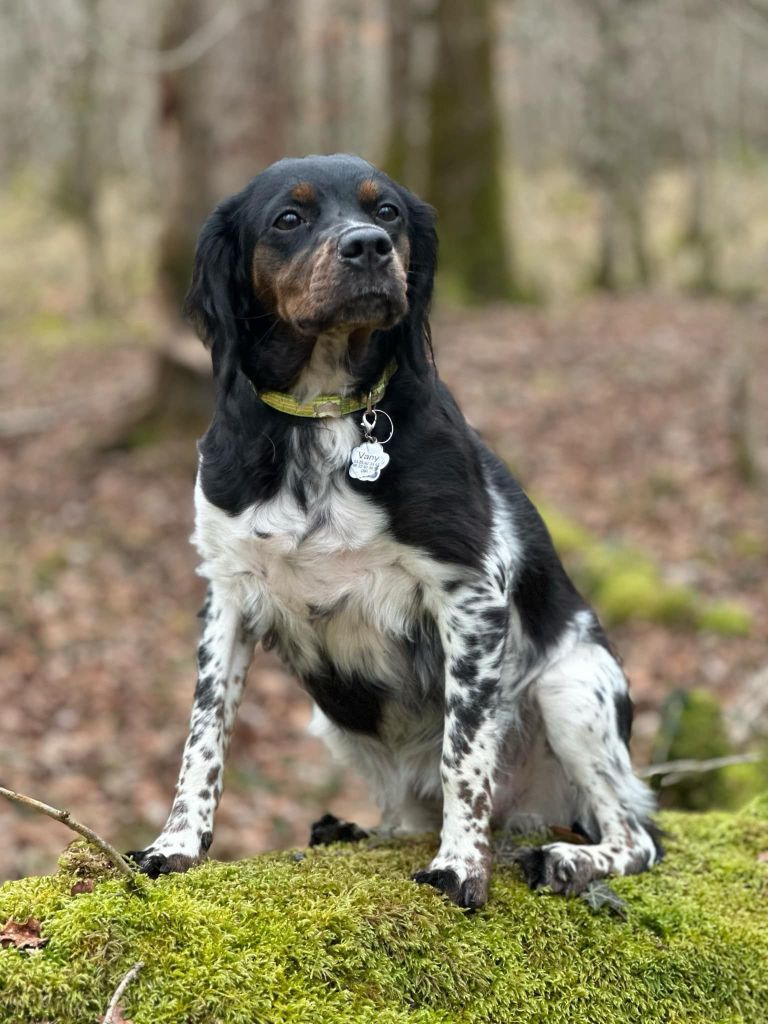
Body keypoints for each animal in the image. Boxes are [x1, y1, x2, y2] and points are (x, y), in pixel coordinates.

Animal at [129, 153, 663, 913]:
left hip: (572, 687)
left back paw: (569, 859)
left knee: (636, 836)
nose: (369, 247)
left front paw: (461, 867)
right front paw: (177, 844)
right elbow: (204, 734)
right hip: (335, 722)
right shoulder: (226, 592)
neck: (324, 415)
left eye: (387, 213)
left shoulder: (470, 590)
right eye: (288, 218)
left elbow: (464, 752)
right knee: (407, 815)